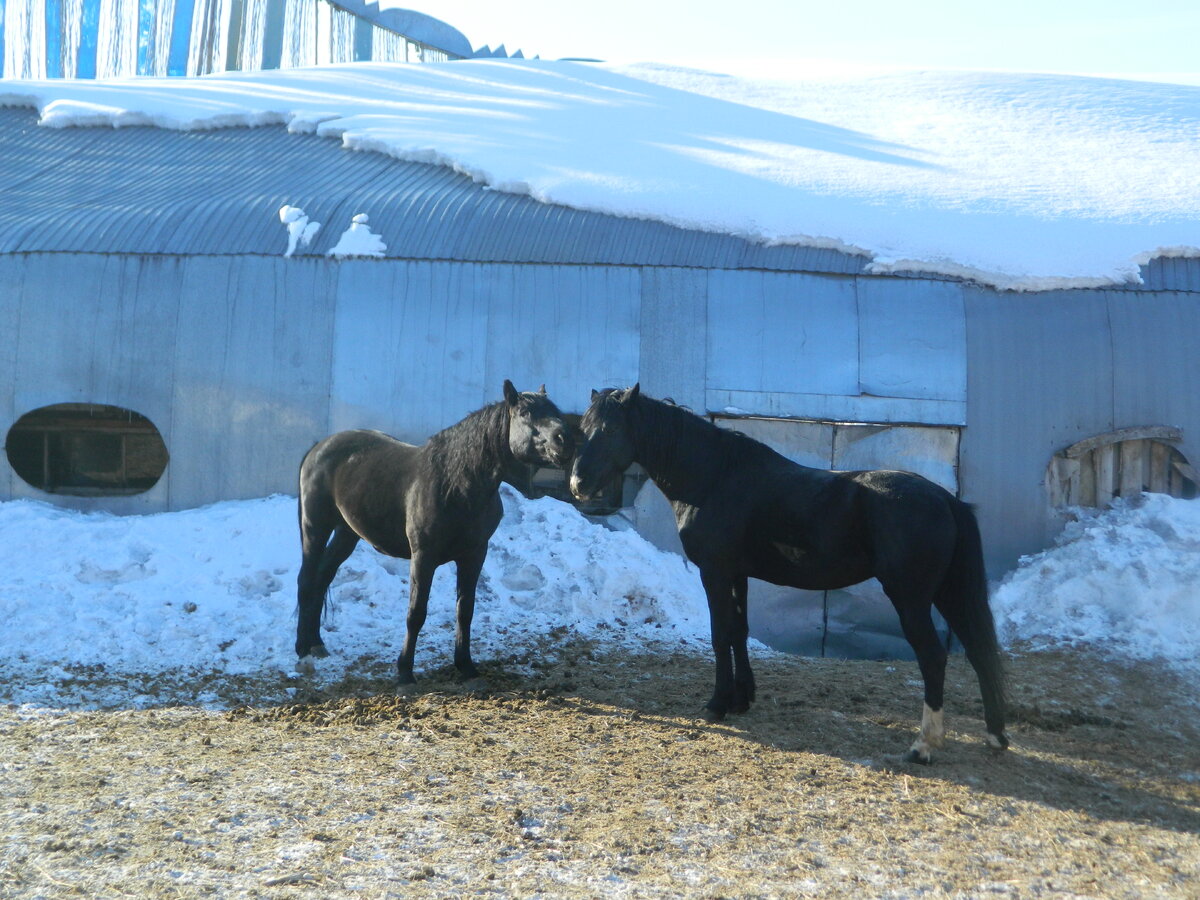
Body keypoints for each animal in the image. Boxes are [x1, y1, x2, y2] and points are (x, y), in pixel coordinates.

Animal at [292, 381, 568, 691]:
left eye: (554, 410)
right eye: (524, 413)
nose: (564, 438)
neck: (457, 484)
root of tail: (319, 447)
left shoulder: (474, 555)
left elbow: (465, 610)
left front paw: (466, 667)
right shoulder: (423, 557)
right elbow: (416, 613)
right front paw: (405, 674)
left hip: (346, 533)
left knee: (323, 576)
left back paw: (316, 643)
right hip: (315, 527)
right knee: (306, 579)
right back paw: (302, 649)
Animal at [568, 384, 1003, 763]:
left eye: (611, 430)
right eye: (583, 429)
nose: (577, 484)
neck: (714, 479)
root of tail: (944, 497)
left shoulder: (714, 572)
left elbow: (719, 634)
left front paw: (717, 703)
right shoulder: (737, 575)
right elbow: (739, 632)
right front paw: (742, 698)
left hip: (911, 598)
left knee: (933, 656)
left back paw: (924, 745)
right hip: (948, 592)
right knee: (980, 652)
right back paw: (996, 737)